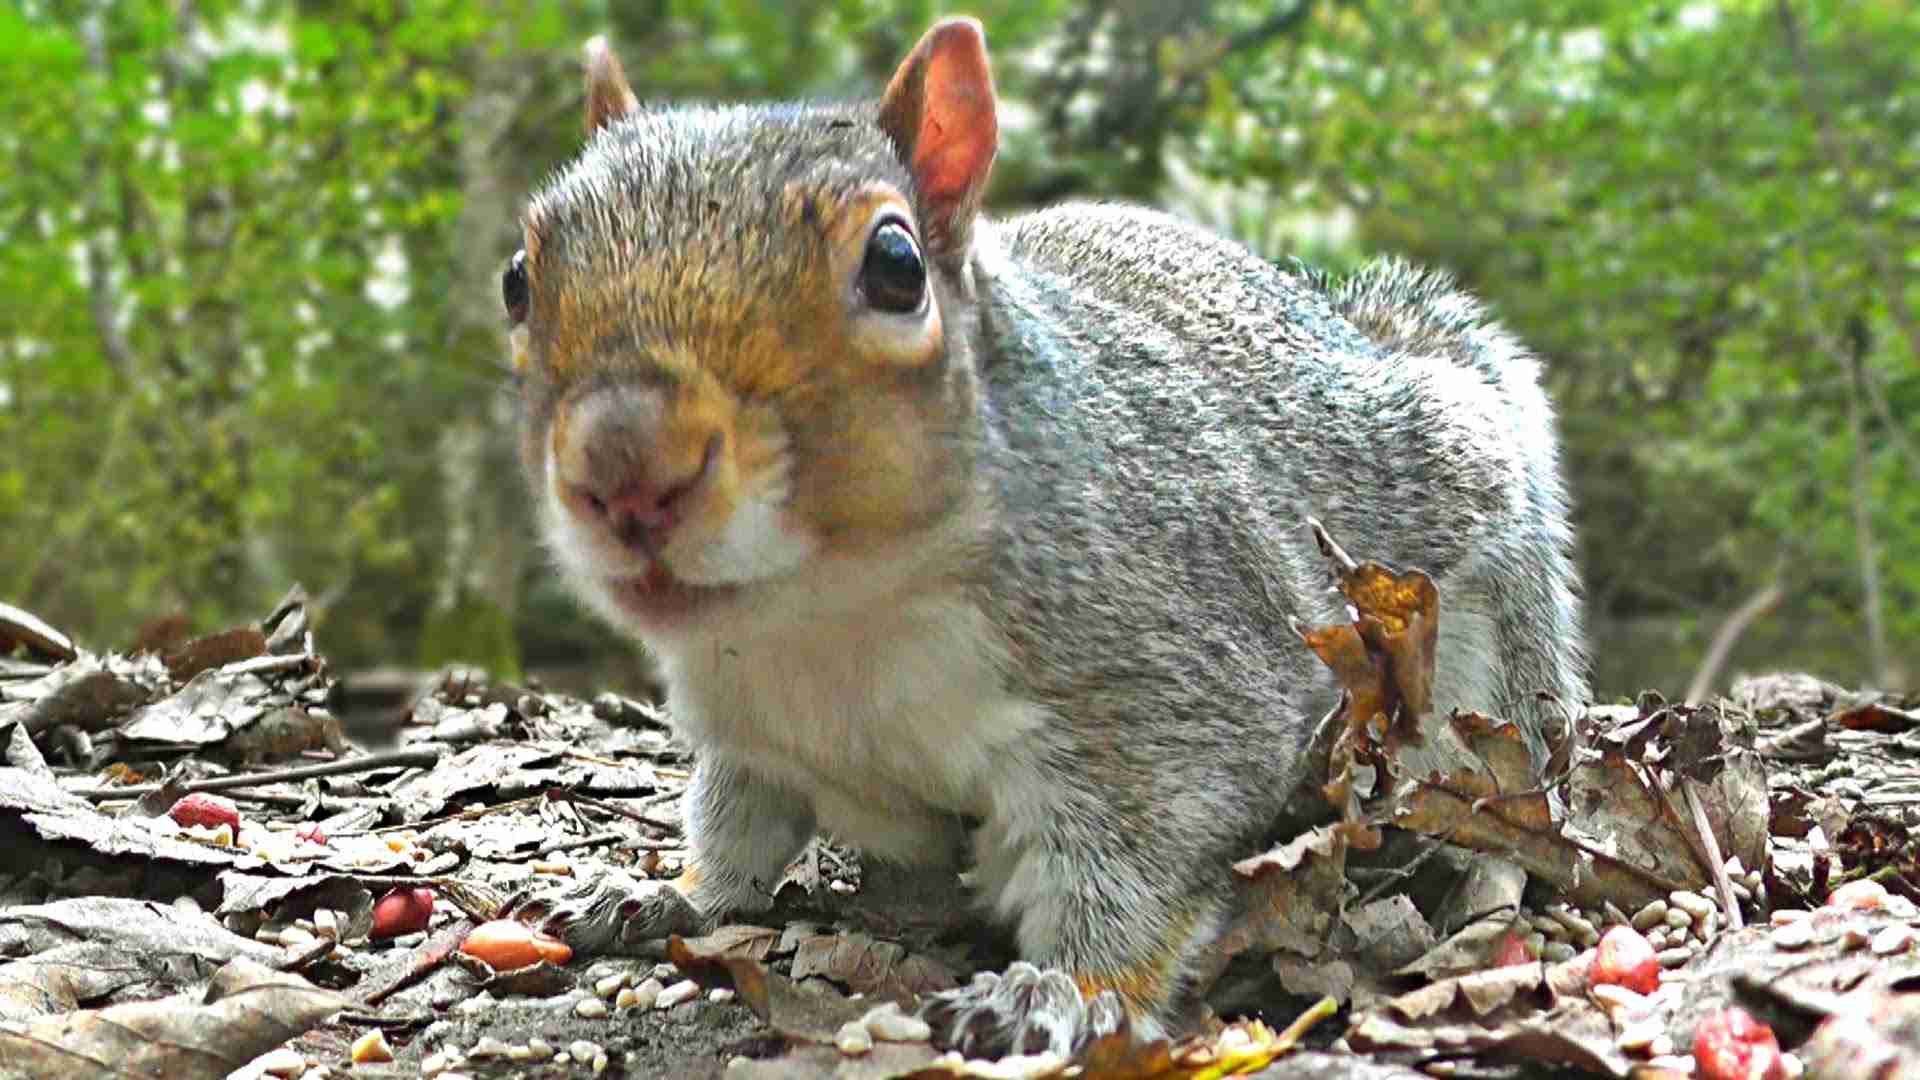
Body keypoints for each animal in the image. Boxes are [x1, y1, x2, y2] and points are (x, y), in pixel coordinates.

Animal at [502, 17, 1587, 1058]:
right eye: (518, 277)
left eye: (896, 267)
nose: (625, 466)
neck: (830, 619)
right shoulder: (748, 728)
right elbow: (736, 827)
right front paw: (668, 890)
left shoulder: (1177, 689)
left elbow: (1134, 871)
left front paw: (1062, 991)